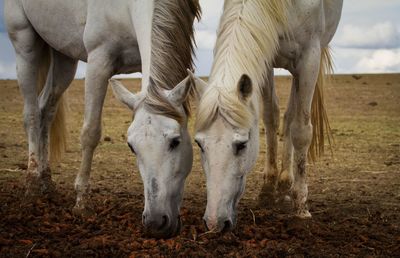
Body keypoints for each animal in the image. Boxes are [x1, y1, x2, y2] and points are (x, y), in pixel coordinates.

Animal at [3, 0, 200, 238]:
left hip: (63, 56)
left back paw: (46, 181)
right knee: (31, 114)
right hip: (24, 42)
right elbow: (90, 132)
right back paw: (32, 184)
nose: (156, 222)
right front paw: (82, 203)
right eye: (131, 147)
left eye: (175, 141)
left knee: (45, 110)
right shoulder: (98, 61)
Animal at [191, 0, 344, 233]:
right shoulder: (265, 54)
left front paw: (301, 207)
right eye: (199, 144)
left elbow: (301, 131)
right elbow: (271, 116)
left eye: (242, 144)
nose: (214, 223)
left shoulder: (309, 58)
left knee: (295, 119)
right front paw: (267, 189)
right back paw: (282, 183)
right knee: (286, 116)